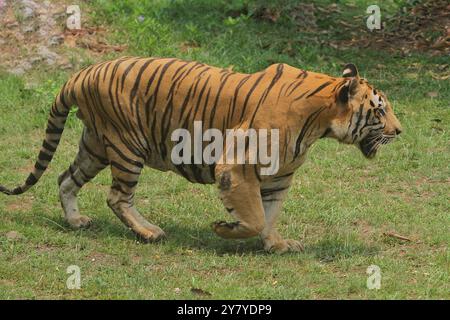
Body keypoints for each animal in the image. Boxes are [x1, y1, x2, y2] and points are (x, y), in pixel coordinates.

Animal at [0, 57, 400, 252]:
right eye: (380, 110)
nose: (399, 131)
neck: (321, 121)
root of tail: (81, 74)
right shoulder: (237, 165)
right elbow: (254, 217)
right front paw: (224, 229)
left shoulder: (280, 176)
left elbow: (269, 216)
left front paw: (277, 246)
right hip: (127, 147)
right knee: (117, 197)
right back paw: (149, 233)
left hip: (96, 145)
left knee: (65, 179)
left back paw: (76, 222)